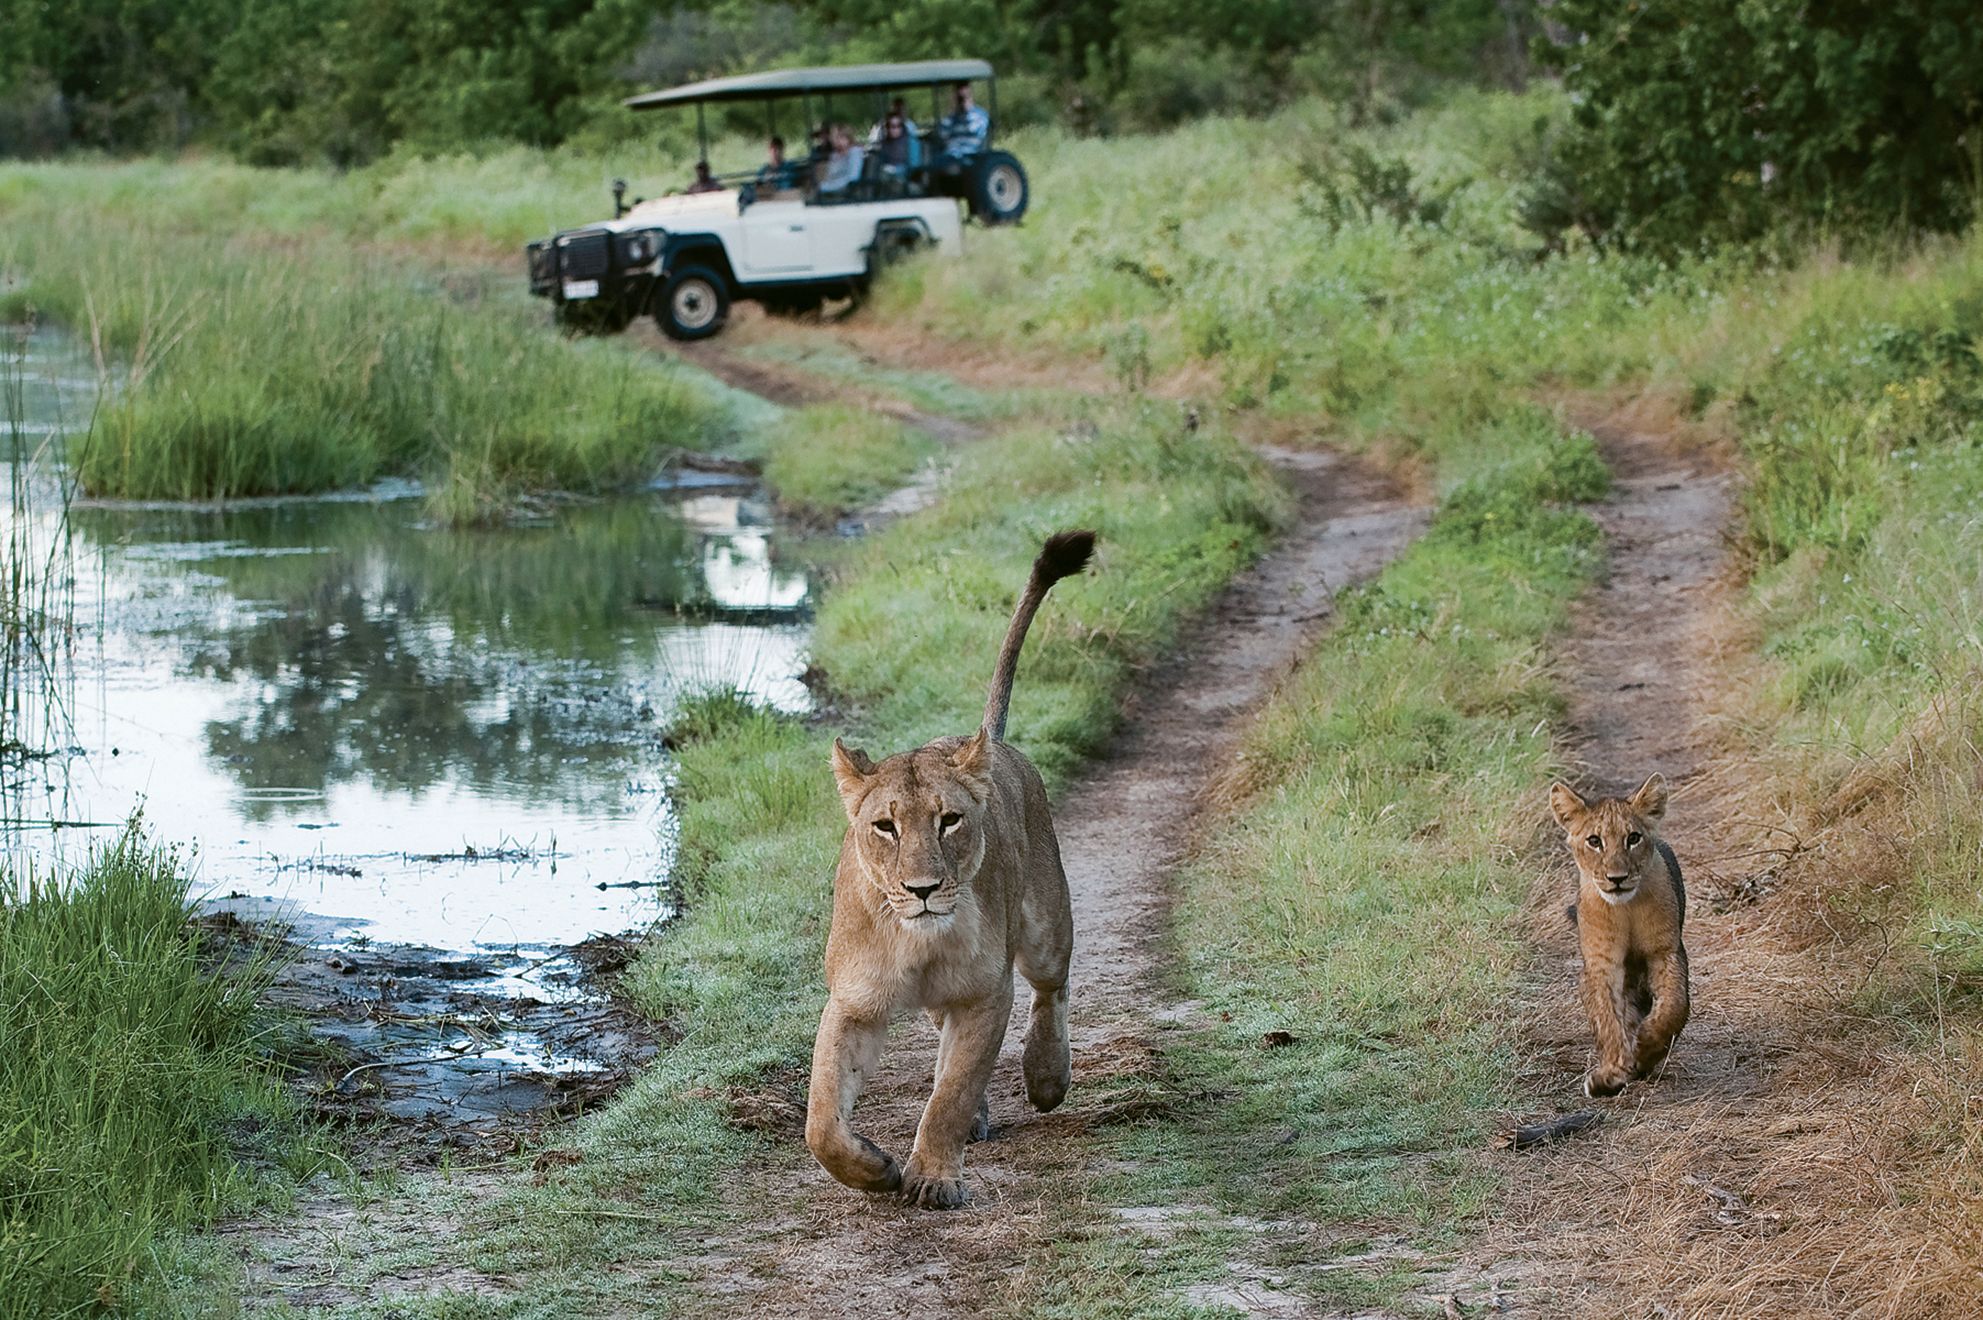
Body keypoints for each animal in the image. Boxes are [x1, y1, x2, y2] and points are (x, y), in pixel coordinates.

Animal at [805, 529, 1093, 1209]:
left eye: (950, 821)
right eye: (885, 826)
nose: (924, 888)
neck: (917, 940)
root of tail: (987, 740)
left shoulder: (987, 993)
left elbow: (951, 1095)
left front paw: (933, 1177)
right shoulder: (853, 1002)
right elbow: (822, 1120)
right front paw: (875, 1170)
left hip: (1045, 927)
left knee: (1053, 986)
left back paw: (1046, 1076)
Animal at [1549, 773, 1691, 1098]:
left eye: (1633, 838)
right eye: (1594, 841)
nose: (1617, 879)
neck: (1626, 909)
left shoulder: (1665, 951)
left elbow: (1674, 1006)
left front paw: (1647, 1046)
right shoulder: (1601, 964)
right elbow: (1608, 1018)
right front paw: (1611, 1075)